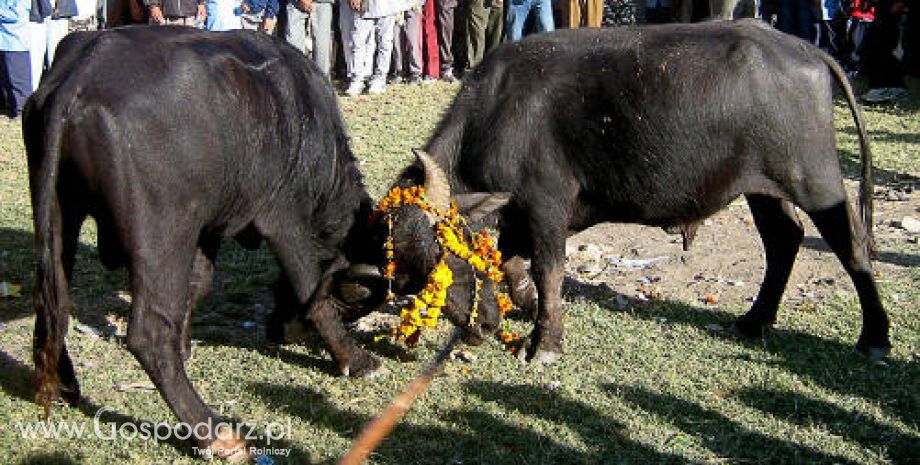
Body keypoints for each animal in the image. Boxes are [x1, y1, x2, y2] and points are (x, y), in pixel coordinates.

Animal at [23, 26, 496, 460]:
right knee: (147, 332)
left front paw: (191, 344)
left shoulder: (211, 227)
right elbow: (310, 289)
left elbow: (200, 285)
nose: (488, 320)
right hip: (162, 234)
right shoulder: (283, 220)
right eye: (449, 261)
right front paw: (355, 360)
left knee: (53, 303)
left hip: (60, 215)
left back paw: (66, 384)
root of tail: (79, 79)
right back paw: (213, 432)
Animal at [394, 20, 892, 362]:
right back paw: (755, 320)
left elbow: (548, 270)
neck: (498, 112)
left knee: (850, 245)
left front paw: (545, 341)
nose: (475, 329)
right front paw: (529, 305)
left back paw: (874, 337)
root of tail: (805, 49)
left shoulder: (546, 206)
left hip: (815, 182)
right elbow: (513, 264)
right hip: (763, 189)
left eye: (435, 256)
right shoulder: (518, 214)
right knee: (784, 239)